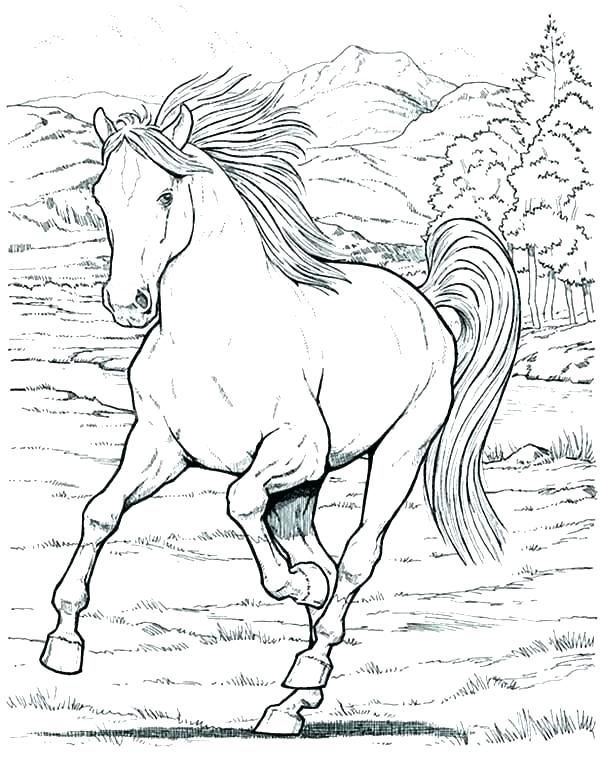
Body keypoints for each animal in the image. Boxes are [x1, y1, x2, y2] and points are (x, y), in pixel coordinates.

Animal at [40, 70, 520, 735]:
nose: (127, 303)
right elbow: (100, 513)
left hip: (396, 454)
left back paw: (305, 672)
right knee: (318, 550)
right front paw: (63, 643)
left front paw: (292, 587)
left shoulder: (296, 449)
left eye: (166, 195)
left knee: (357, 556)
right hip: (301, 491)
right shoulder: (159, 446)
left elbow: (238, 500)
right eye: (101, 194)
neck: (214, 337)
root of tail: (428, 304)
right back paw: (294, 693)